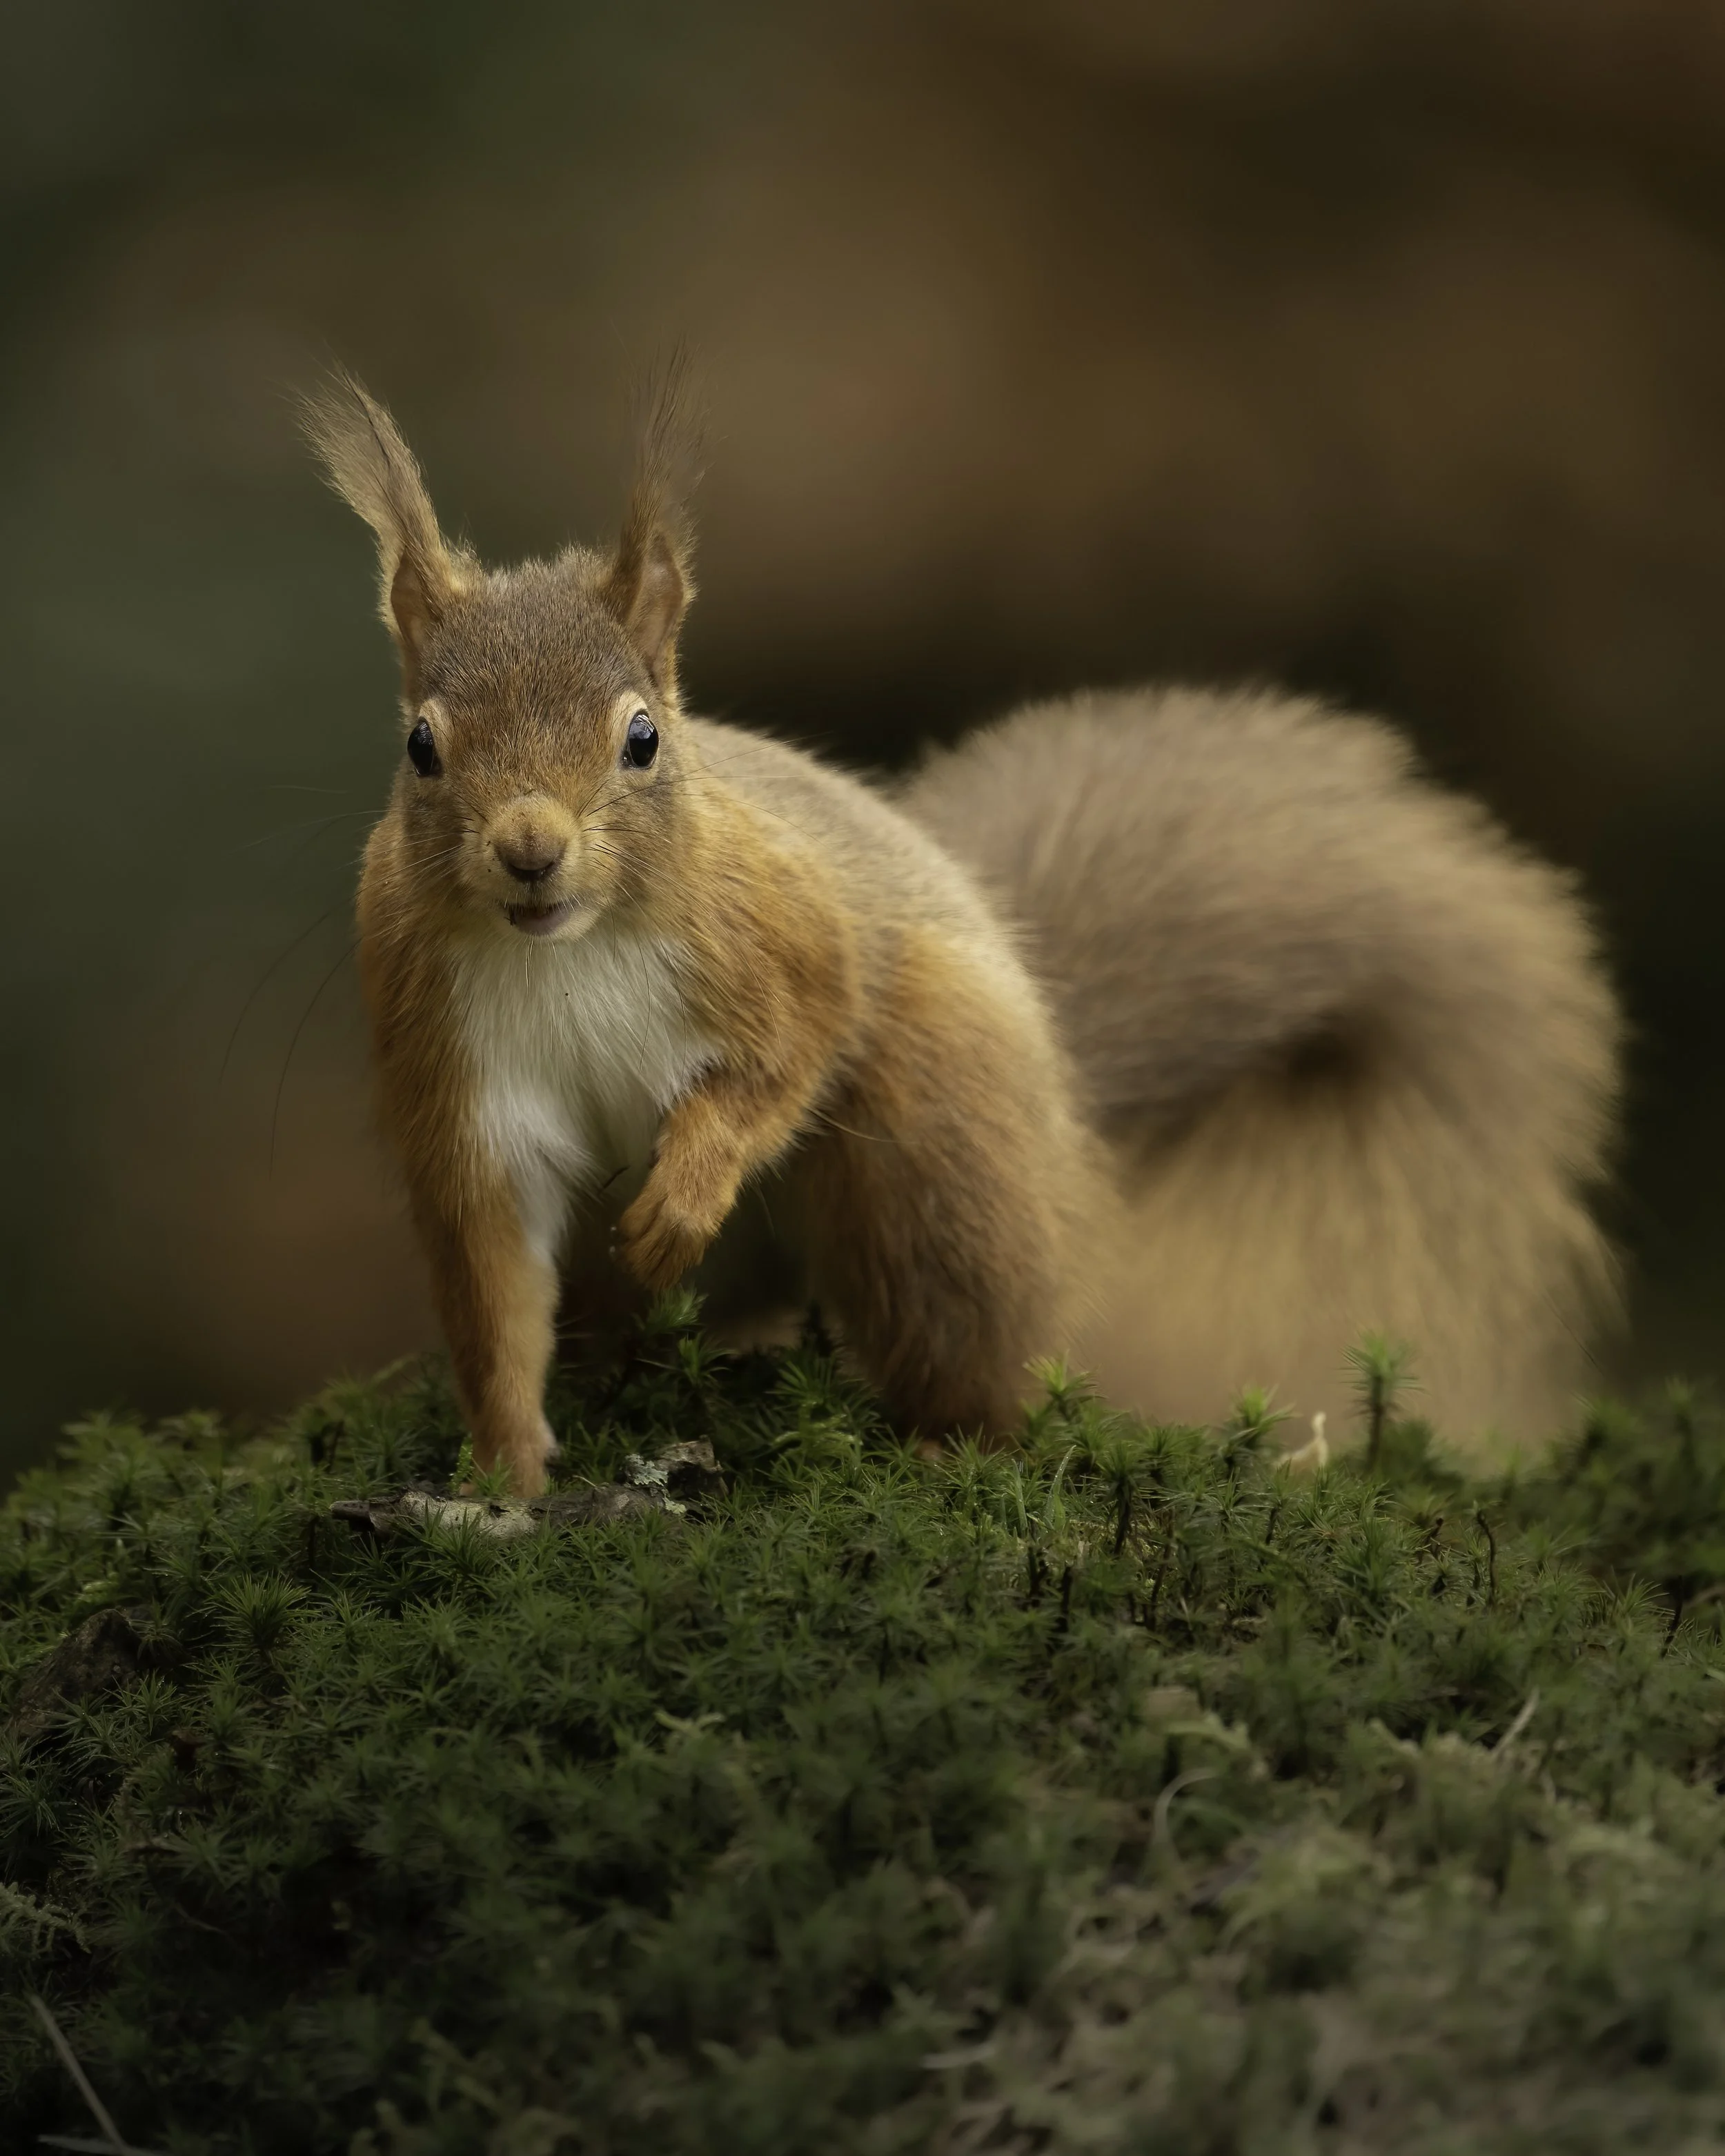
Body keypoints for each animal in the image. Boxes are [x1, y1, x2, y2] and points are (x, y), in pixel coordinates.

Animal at [305, 374, 1620, 1494]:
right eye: (421, 746)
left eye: (643, 739)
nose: (530, 849)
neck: (564, 947)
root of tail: (1063, 1107)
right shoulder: (456, 1076)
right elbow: (491, 1283)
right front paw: (505, 1475)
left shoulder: (787, 933)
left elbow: (799, 1044)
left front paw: (686, 1194)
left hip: (938, 1133)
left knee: (980, 1338)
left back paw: (950, 1443)